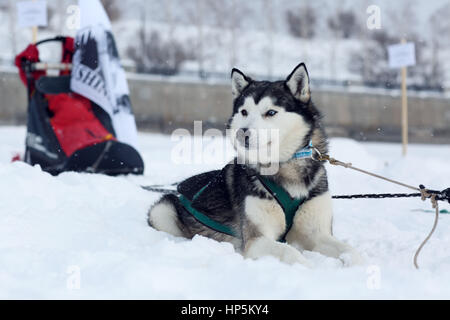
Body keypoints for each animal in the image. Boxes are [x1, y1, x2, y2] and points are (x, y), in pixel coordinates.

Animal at [148, 63, 362, 266]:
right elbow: (290, 251)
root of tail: (180, 186)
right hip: (162, 211)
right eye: (244, 112)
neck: (284, 166)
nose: (242, 133)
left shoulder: (317, 233)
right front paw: (306, 267)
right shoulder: (256, 240)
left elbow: (350, 250)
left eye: (271, 112)